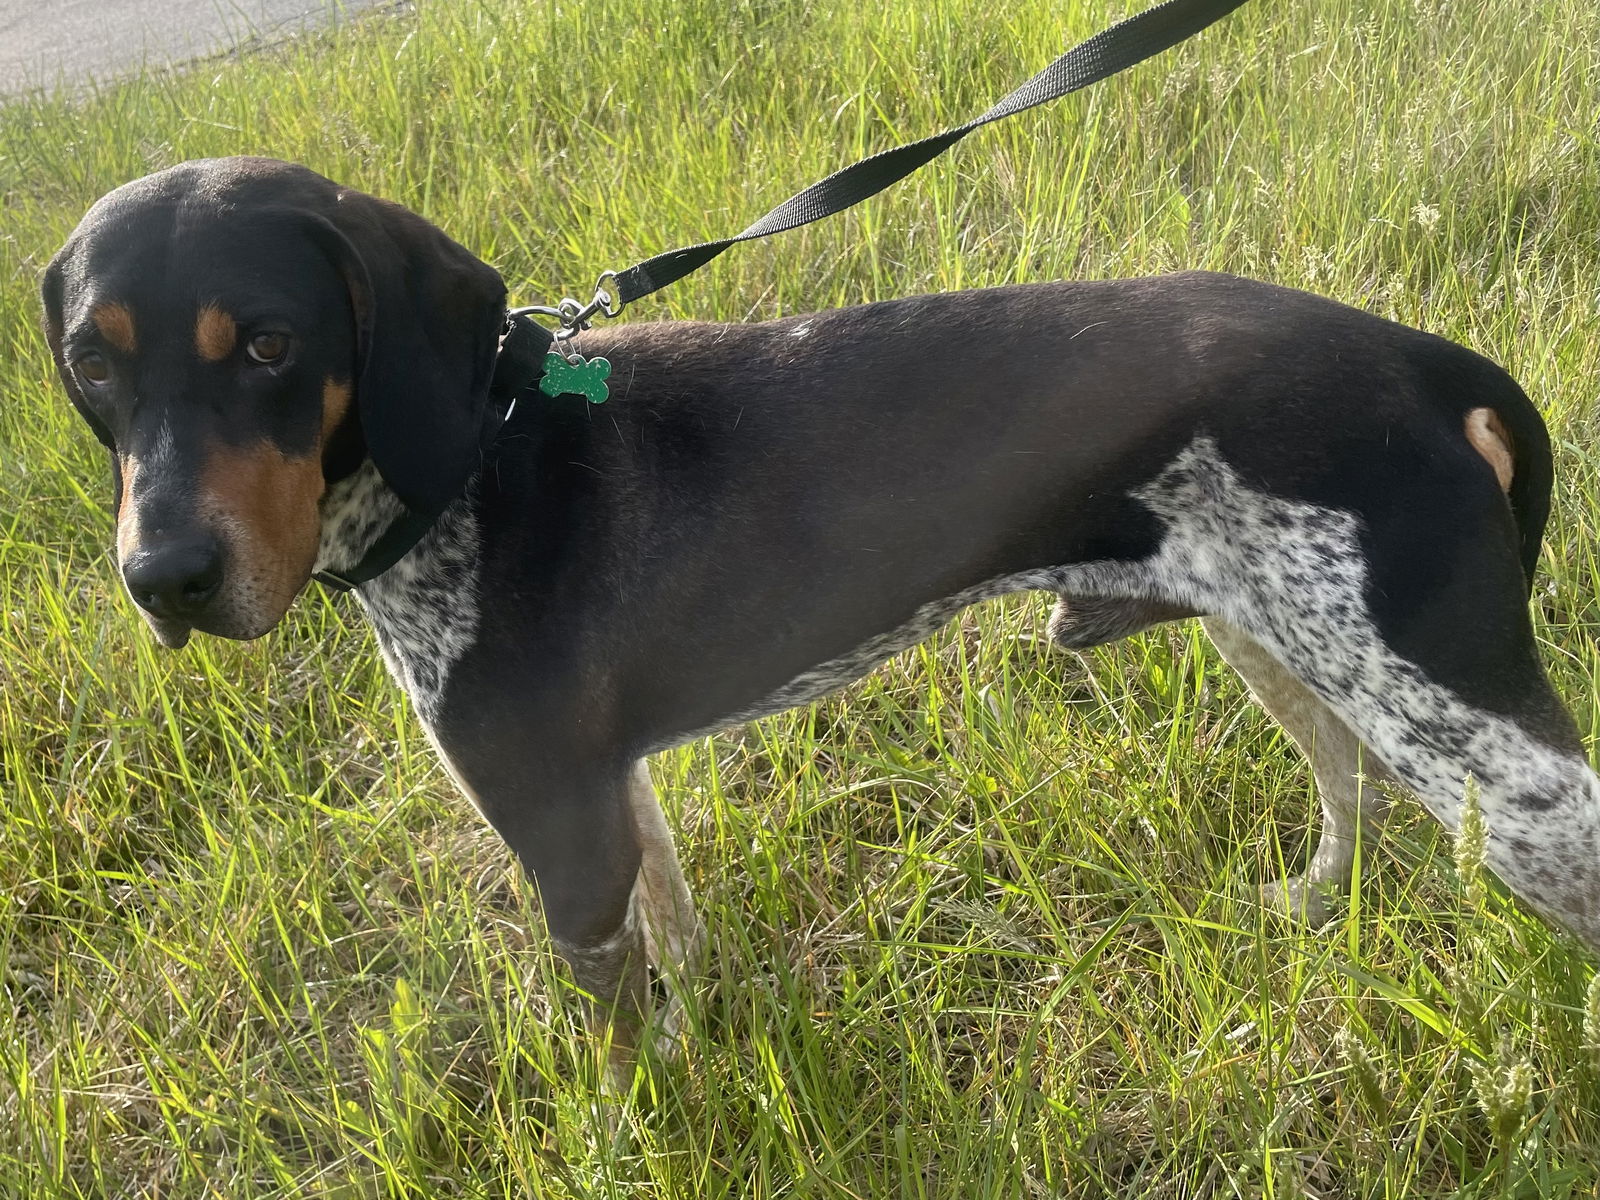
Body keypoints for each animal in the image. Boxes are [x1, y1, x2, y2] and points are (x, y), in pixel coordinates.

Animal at [40, 155, 1600, 1075]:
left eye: (271, 345)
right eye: (90, 366)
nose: (164, 581)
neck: (475, 459)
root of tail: (1421, 358)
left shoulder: (562, 841)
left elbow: (616, 1053)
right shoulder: (611, 798)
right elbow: (677, 950)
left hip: (1471, 737)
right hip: (1285, 642)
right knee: (1351, 790)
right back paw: (1310, 901)